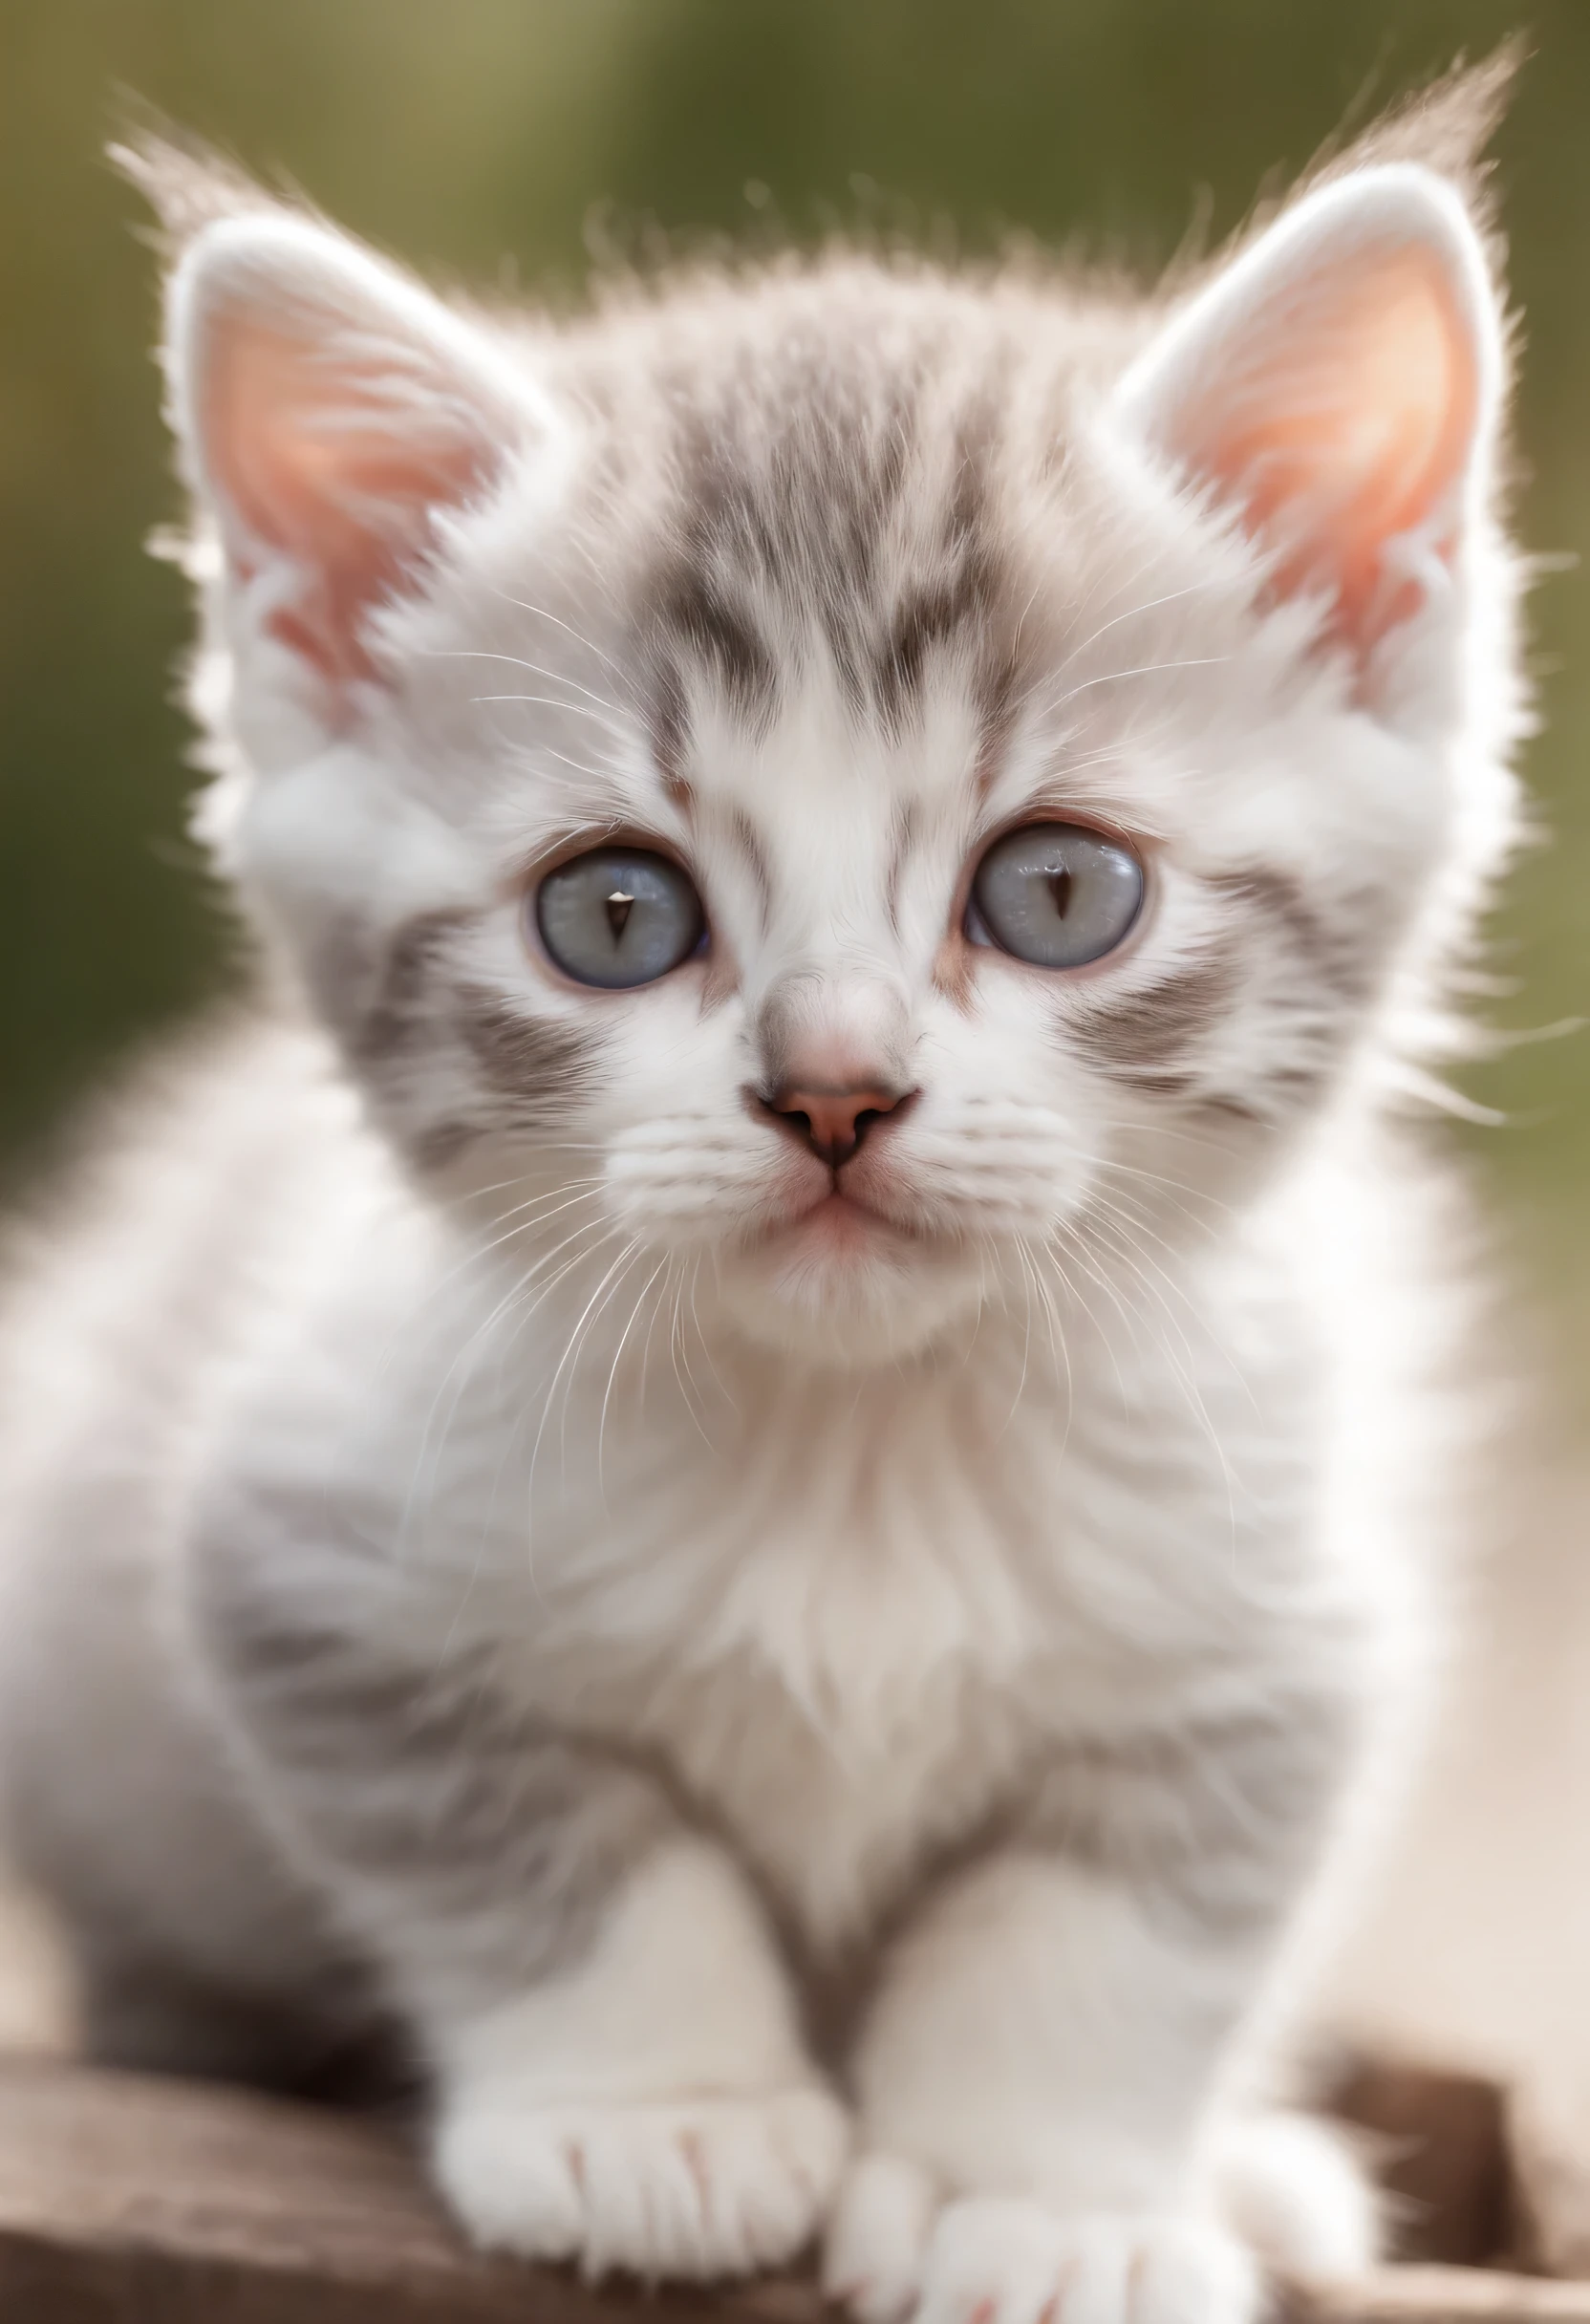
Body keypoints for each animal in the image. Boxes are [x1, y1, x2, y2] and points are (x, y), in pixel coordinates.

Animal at [0, 73, 1524, 2324]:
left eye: (1053, 890)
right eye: (616, 915)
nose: (832, 1093)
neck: (860, 1451)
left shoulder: (1276, 1630)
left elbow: (1108, 1925)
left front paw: (1034, 2196)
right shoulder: (300, 1554)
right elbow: (542, 1843)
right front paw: (662, 2118)